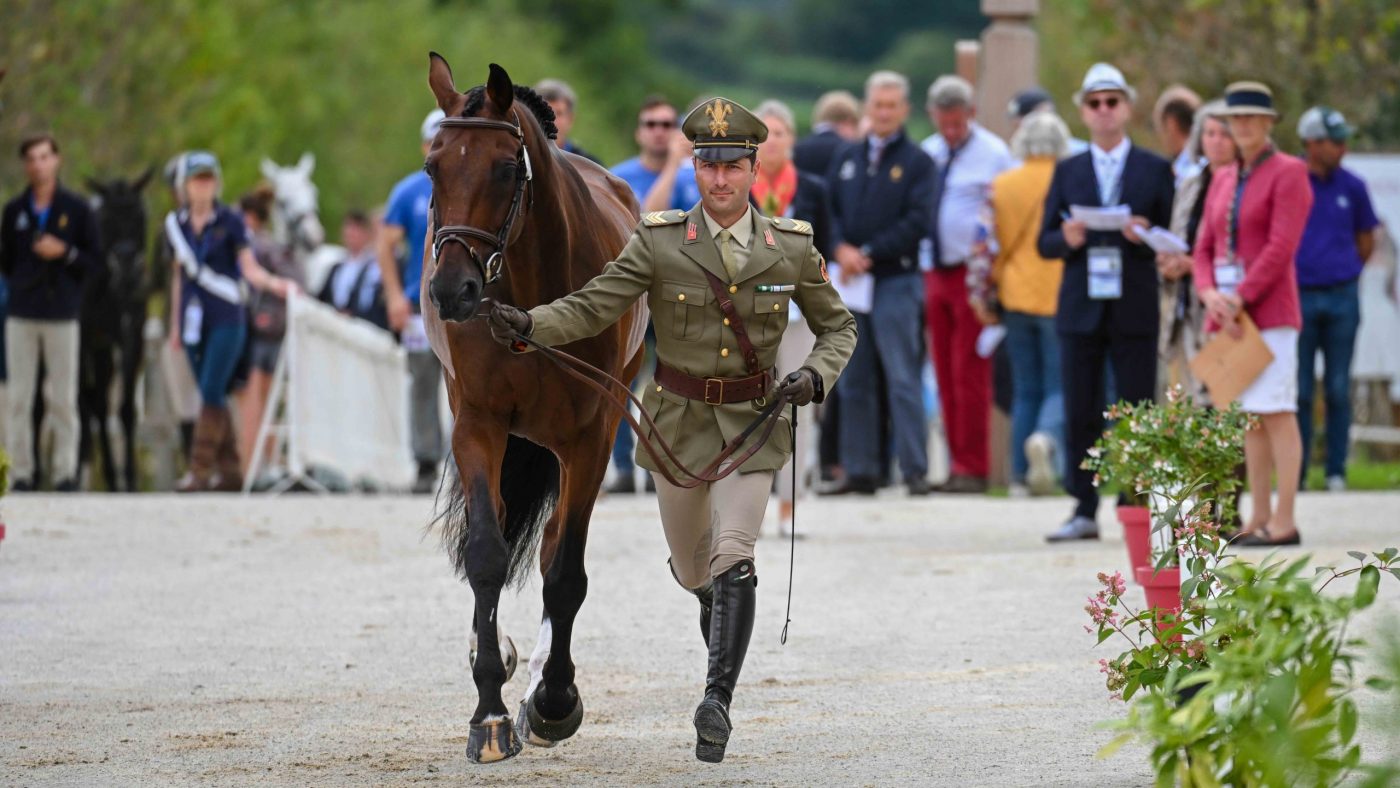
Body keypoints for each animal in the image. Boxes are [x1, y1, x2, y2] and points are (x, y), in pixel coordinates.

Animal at [421, 54, 645, 763]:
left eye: (502, 168)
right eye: (433, 166)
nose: (452, 290)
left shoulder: (590, 438)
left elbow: (563, 571)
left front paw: (552, 702)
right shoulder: (478, 424)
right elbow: (485, 554)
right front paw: (489, 714)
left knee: (550, 551)